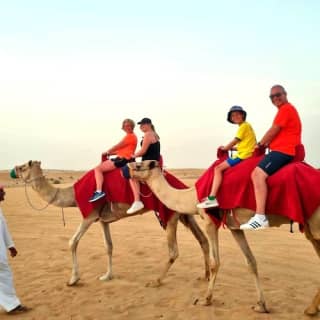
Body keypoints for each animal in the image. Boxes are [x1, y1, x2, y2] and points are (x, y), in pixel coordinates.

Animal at [13, 161, 211, 288]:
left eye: (23, 166)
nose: (14, 170)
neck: (73, 195)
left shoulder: (89, 215)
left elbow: (72, 242)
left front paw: (73, 279)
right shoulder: (103, 220)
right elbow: (109, 246)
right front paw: (107, 276)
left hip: (169, 215)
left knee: (174, 251)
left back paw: (156, 281)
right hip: (183, 212)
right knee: (202, 239)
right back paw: (206, 276)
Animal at [127, 160, 320, 316]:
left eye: (139, 165)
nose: (126, 168)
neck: (191, 197)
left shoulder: (209, 221)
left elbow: (215, 262)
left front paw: (205, 299)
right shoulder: (235, 227)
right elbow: (251, 261)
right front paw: (261, 305)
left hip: (316, 223)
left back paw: (311, 309)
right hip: (311, 228)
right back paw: (311, 309)